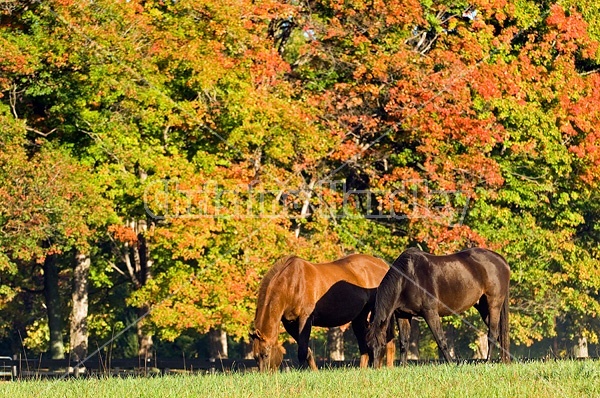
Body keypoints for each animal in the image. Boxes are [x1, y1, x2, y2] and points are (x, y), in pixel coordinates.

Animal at [250, 253, 396, 372]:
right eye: (255, 357)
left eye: (266, 354)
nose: (265, 375)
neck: (292, 283)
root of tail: (383, 265)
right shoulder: (290, 323)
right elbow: (307, 350)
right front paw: (314, 371)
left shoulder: (305, 320)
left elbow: (302, 350)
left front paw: (302, 372)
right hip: (359, 317)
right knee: (363, 342)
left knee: (387, 339)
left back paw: (388, 367)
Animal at [368, 247, 508, 366]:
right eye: (369, 345)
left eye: (382, 344)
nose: (374, 368)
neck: (407, 278)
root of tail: (501, 260)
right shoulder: (403, 315)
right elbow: (404, 342)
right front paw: (403, 365)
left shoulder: (430, 313)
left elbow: (441, 340)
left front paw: (451, 364)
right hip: (483, 308)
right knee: (499, 335)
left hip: (494, 305)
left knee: (492, 334)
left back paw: (488, 362)